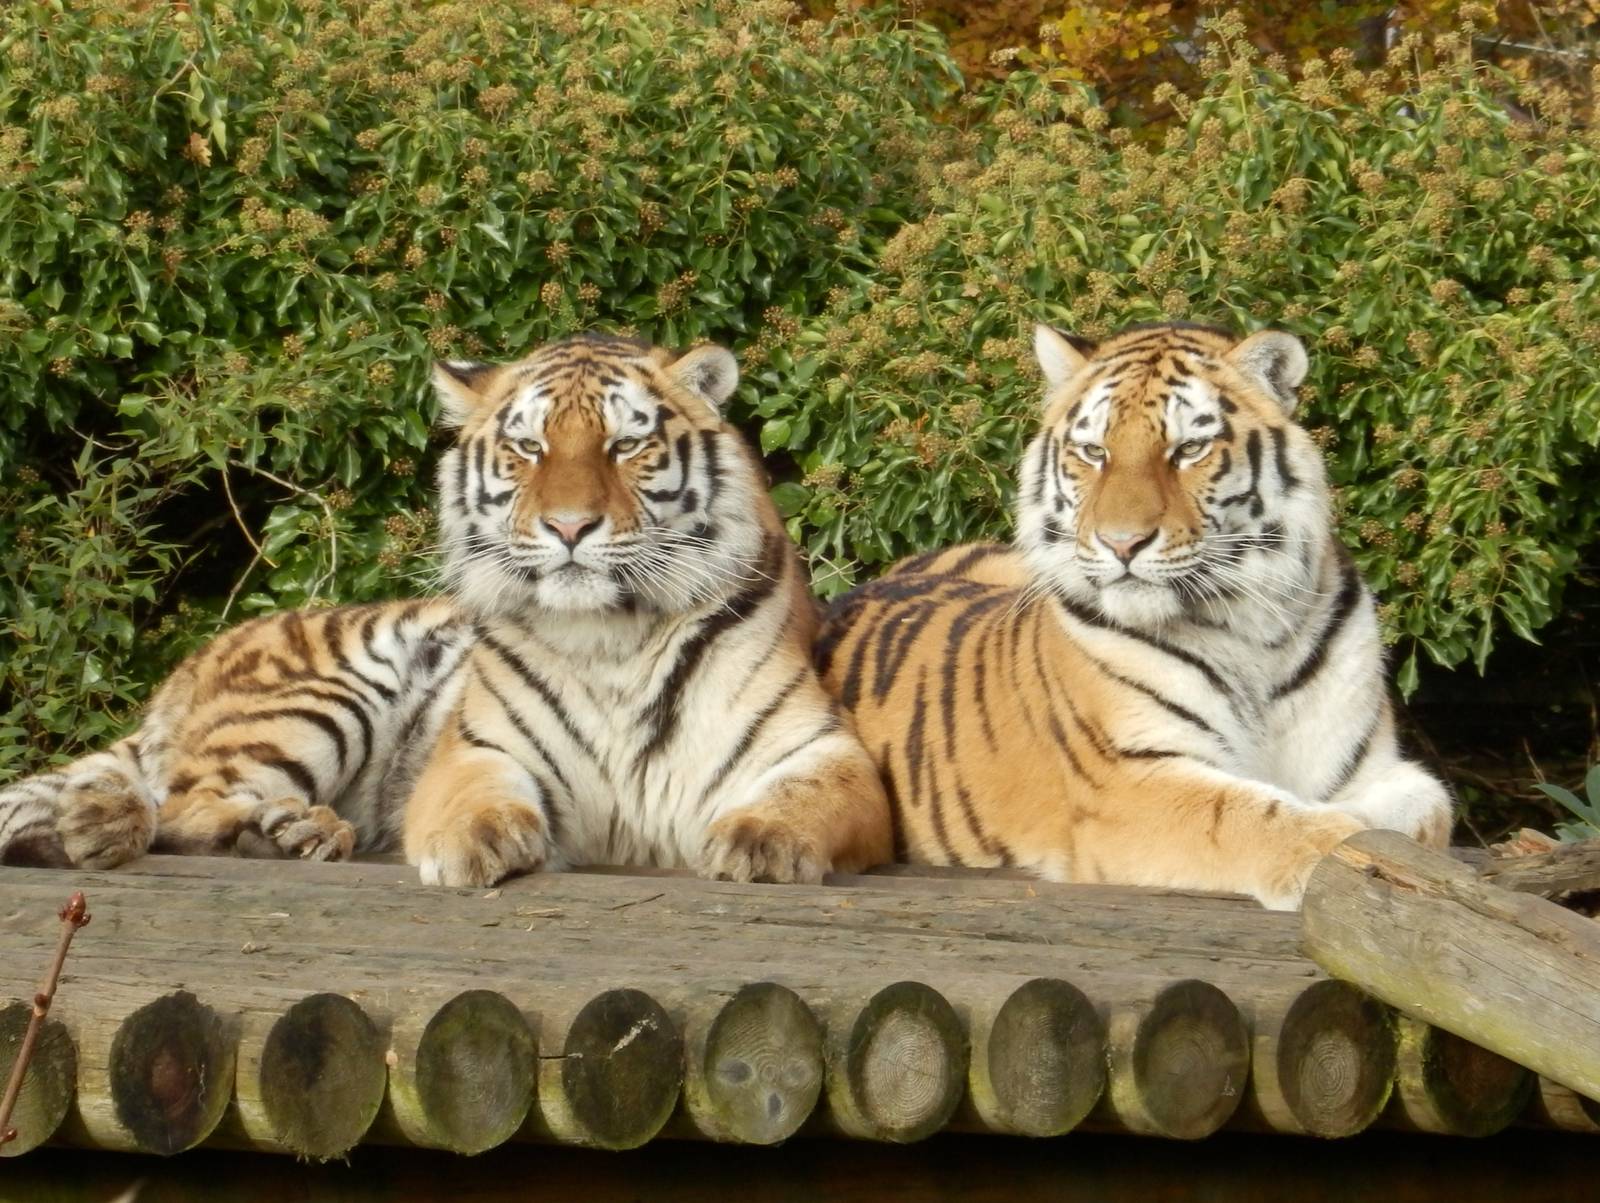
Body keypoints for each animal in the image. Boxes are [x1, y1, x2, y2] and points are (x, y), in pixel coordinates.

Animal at [0, 334, 892, 888]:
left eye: (624, 445)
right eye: (529, 447)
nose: (570, 527)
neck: (613, 635)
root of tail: (184, 670)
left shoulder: (823, 750)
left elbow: (802, 799)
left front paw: (762, 841)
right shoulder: (480, 747)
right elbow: (474, 797)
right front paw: (477, 842)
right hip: (325, 693)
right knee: (182, 803)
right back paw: (284, 829)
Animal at [815, 321, 1453, 910]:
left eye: (1189, 450)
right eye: (1094, 452)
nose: (1122, 543)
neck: (1255, 634)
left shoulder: (1366, 767)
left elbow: (1425, 805)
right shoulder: (1124, 781)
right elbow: (1259, 816)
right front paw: (1338, 842)